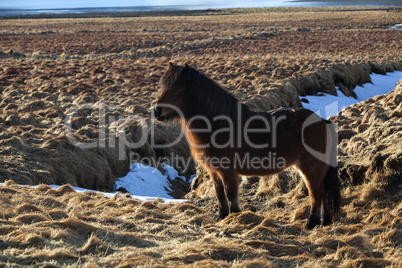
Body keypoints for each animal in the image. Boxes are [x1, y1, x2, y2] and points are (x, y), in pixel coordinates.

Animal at [153, 62, 340, 228]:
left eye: (178, 89)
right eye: (162, 87)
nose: (156, 111)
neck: (219, 125)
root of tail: (322, 121)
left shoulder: (228, 171)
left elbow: (231, 194)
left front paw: (235, 218)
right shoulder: (214, 171)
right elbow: (220, 194)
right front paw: (222, 218)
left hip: (311, 168)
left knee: (316, 195)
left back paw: (311, 224)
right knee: (323, 195)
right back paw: (324, 222)